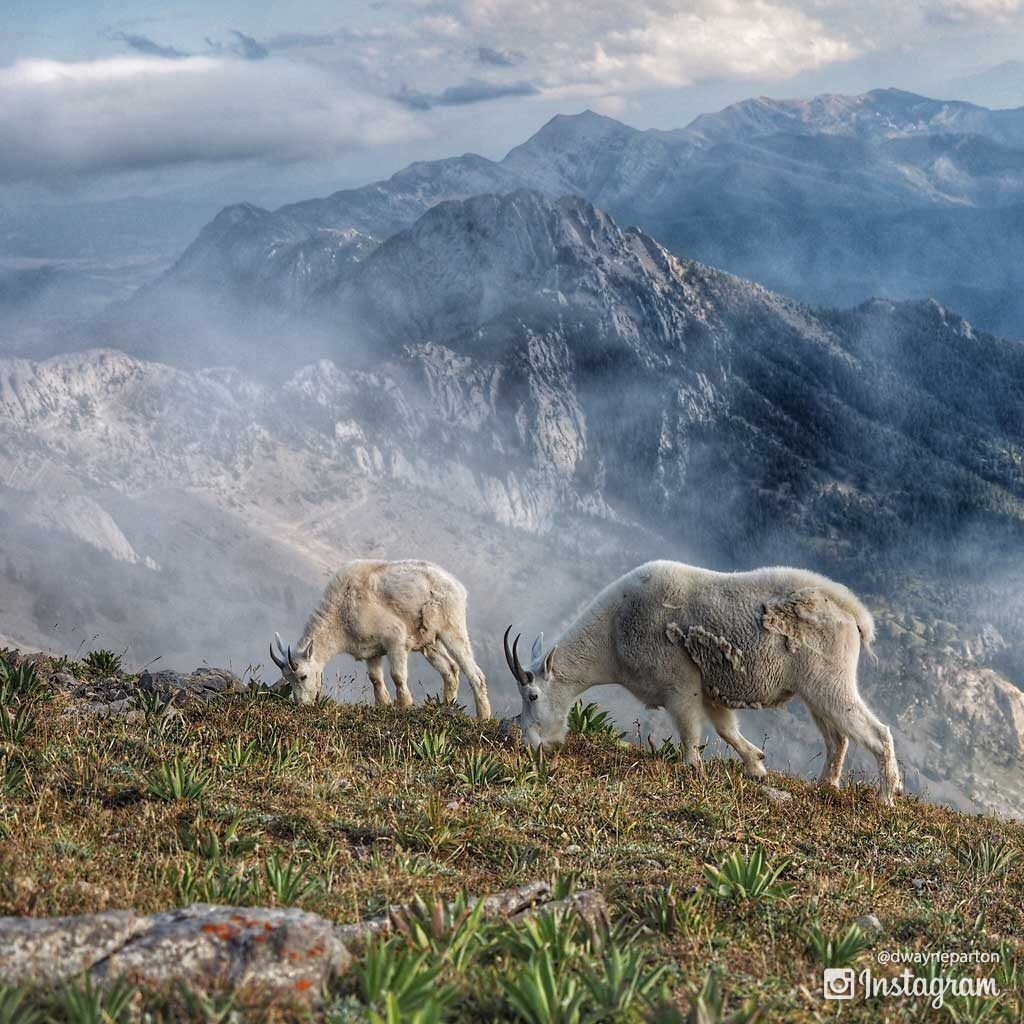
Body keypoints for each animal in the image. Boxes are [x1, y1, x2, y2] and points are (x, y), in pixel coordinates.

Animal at [270, 557, 493, 716]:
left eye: (303, 676)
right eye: (287, 679)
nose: (302, 705)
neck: (343, 611)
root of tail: (458, 587)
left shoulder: (395, 638)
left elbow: (397, 676)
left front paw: (405, 705)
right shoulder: (371, 650)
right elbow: (375, 678)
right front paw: (383, 705)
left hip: (451, 627)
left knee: (474, 673)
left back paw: (483, 716)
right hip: (429, 641)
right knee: (451, 669)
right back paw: (445, 707)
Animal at [499, 565, 901, 802]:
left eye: (532, 695)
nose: (530, 743)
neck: (613, 633)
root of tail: (852, 613)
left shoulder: (680, 683)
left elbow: (690, 729)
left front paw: (691, 767)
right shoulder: (710, 690)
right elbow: (725, 729)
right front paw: (756, 764)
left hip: (829, 679)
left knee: (876, 732)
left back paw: (886, 794)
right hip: (813, 689)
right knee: (837, 737)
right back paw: (826, 785)